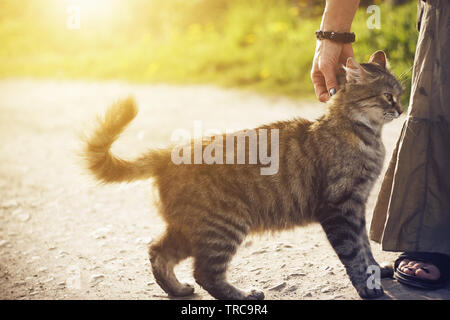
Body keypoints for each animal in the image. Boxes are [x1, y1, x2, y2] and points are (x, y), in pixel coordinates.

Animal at [82, 50, 402, 300]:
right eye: (388, 96)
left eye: (400, 94)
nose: (400, 109)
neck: (366, 137)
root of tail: (168, 153)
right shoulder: (340, 207)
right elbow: (353, 253)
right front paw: (368, 286)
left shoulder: (357, 207)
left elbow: (365, 248)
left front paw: (377, 271)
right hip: (222, 226)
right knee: (205, 273)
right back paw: (243, 294)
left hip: (189, 228)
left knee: (157, 251)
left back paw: (178, 290)